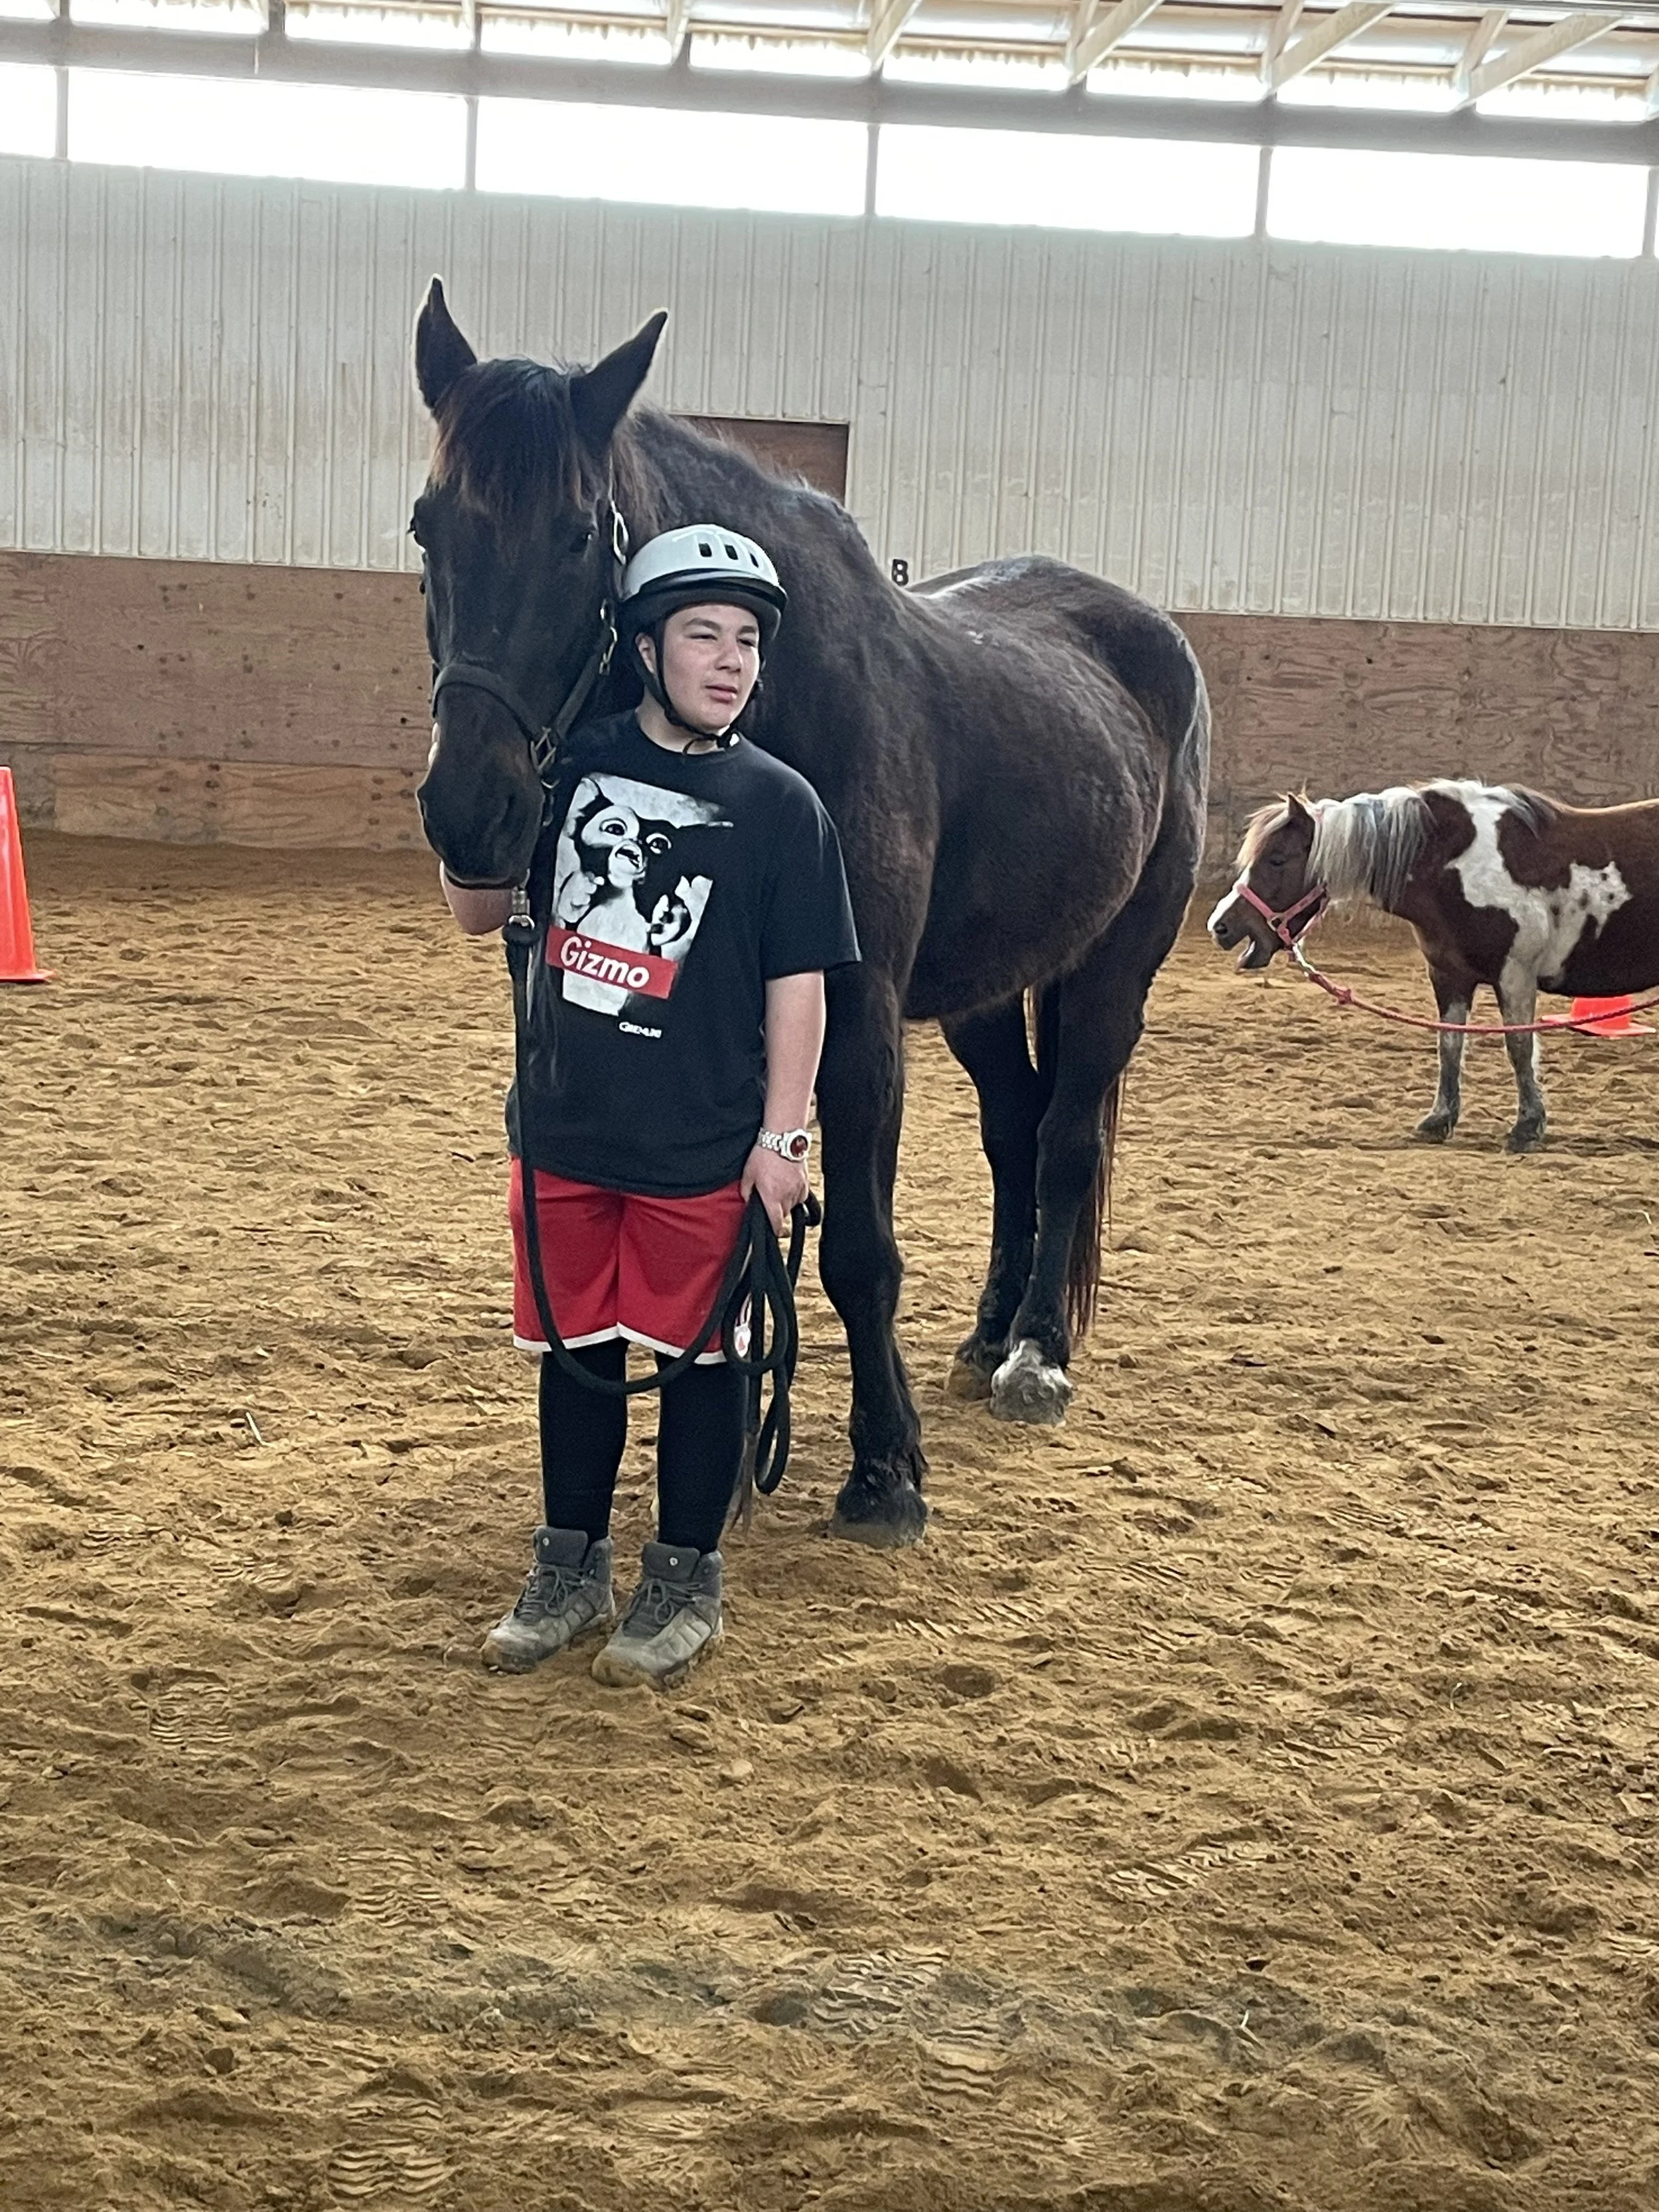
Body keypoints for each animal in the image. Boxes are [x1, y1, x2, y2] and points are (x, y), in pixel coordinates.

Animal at [410, 281, 1210, 1546]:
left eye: (580, 533)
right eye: (426, 527)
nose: (471, 811)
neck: (770, 703)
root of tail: (1154, 636)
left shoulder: (857, 1017)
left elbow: (862, 1252)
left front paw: (885, 1473)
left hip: (1113, 970)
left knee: (1069, 1136)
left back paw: (1035, 1354)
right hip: (984, 993)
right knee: (1015, 1132)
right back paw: (988, 1333)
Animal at [1208, 780, 1659, 1153]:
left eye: (1277, 859)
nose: (1222, 926)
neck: (1459, 866)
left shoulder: (1514, 974)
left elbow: (1519, 1048)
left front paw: (1527, 1128)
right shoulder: (1448, 976)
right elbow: (1450, 1045)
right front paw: (1439, 1120)